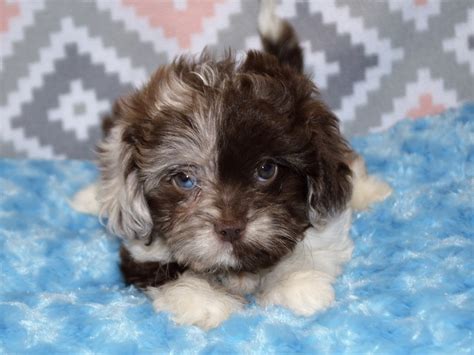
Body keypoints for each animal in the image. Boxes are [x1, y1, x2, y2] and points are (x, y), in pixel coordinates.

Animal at [70, 0, 390, 330]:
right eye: (184, 179)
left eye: (266, 170)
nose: (230, 229)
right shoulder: (142, 253)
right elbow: (169, 274)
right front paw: (206, 302)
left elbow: (313, 247)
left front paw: (295, 287)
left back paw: (369, 191)